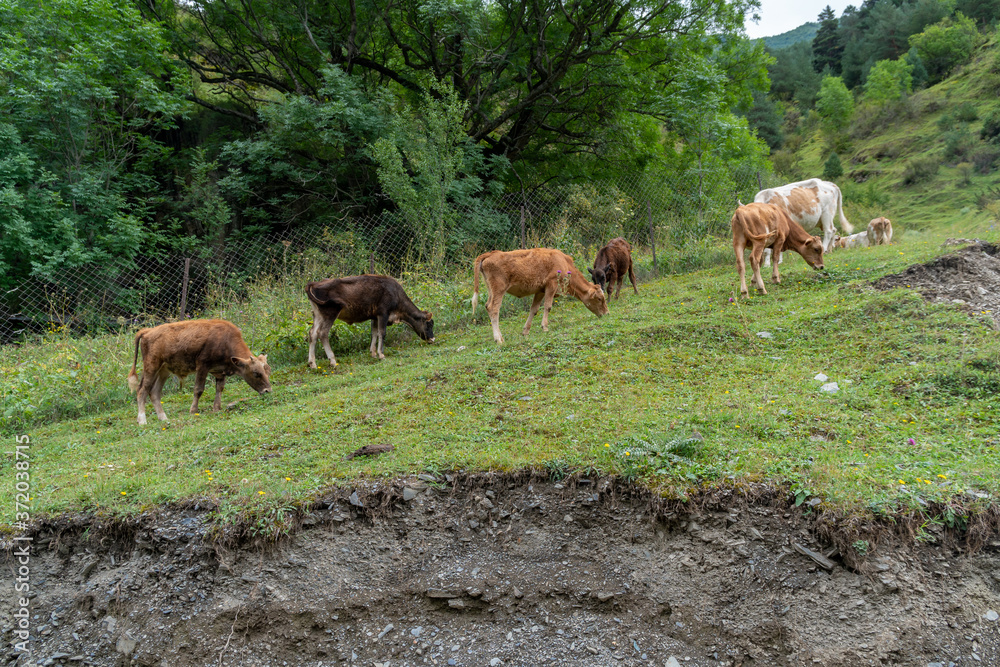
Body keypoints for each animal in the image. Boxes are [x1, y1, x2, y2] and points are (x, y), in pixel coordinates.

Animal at [127, 319, 272, 425]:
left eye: (268, 371)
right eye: (256, 373)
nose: (267, 391)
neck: (225, 340)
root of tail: (148, 331)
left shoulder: (220, 372)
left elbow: (219, 388)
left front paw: (216, 408)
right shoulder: (202, 366)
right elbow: (198, 389)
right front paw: (193, 411)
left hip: (163, 370)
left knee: (155, 392)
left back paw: (163, 418)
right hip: (151, 367)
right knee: (142, 390)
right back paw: (142, 420)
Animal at [305, 274, 434, 368]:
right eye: (429, 324)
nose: (433, 339)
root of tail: (314, 283)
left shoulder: (375, 316)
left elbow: (374, 333)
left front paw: (373, 353)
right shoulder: (383, 313)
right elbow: (382, 333)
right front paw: (381, 354)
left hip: (318, 315)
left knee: (313, 333)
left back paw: (312, 364)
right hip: (330, 313)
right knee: (323, 333)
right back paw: (332, 361)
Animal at [471, 248, 608, 344]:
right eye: (599, 299)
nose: (607, 313)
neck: (564, 262)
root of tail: (490, 254)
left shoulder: (540, 291)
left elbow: (534, 309)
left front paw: (525, 331)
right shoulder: (551, 285)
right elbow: (548, 306)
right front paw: (545, 327)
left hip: (491, 291)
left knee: (487, 306)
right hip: (499, 290)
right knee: (493, 309)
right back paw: (499, 339)